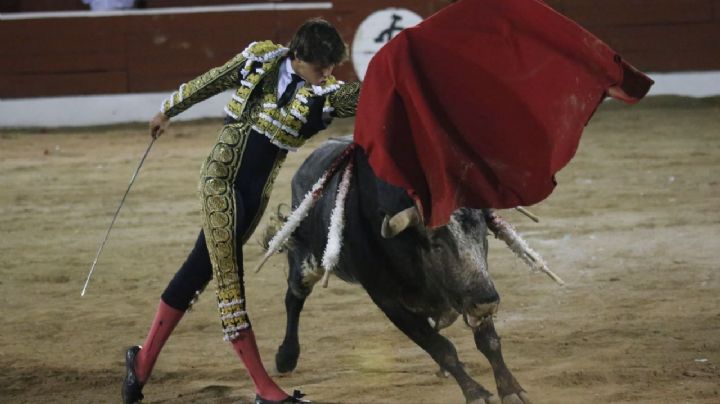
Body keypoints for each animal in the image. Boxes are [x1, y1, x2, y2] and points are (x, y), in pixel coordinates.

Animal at [270, 137, 536, 404]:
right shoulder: (388, 301)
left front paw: (512, 389)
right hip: (305, 261)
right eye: (436, 244)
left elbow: (488, 341)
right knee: (294, 298)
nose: (487, 302)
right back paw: (285, 357)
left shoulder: (474, 292)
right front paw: (476, 393)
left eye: (484, 236)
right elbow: (441, 348)